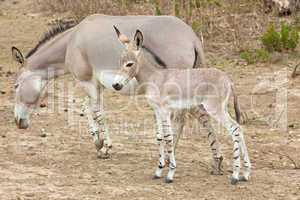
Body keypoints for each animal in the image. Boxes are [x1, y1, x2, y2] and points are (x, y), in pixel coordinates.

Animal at [112, 27, 251, 185]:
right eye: (120, 62)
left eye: (129, 64)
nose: (115, 85)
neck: (153, 77)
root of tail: (228, 78)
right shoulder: (157, 111)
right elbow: (159, 137)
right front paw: (158, 170)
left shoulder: (165, 111)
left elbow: (168, 137)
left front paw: (170, 173)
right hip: (221, 109)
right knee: (238, 129)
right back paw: (245, 174)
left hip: (215, 109)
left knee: (235, 128)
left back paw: (235, 175)